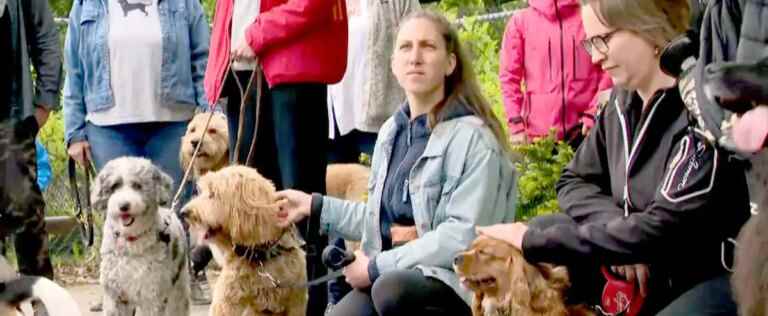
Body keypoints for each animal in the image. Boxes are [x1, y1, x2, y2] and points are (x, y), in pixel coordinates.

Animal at [92, 158, 190, 316]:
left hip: (178, 287)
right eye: (115, 186)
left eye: (137, 185)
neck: (131, 242)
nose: (124, 205)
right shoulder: (116, 296)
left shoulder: (151, 295)